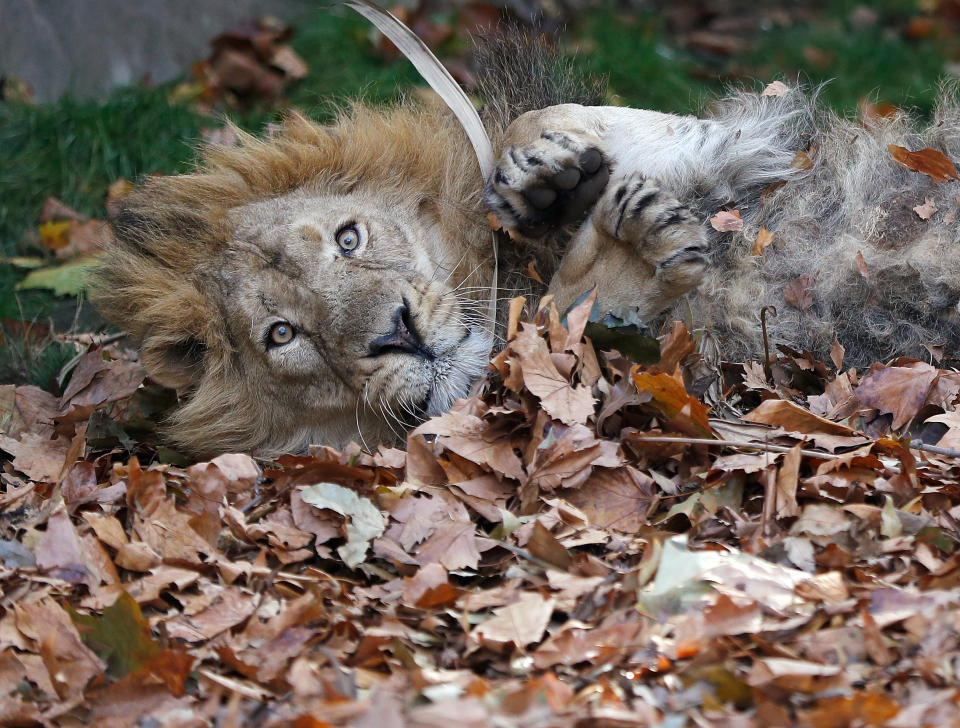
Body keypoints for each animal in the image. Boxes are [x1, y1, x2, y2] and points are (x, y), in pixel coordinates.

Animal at [94, 38, 960, 456]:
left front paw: (544, 174)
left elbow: (552, 124)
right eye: (283, 335)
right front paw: (624, 252)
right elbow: (572, 327)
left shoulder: (748, 143)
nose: (397, 333)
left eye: (348, 238)